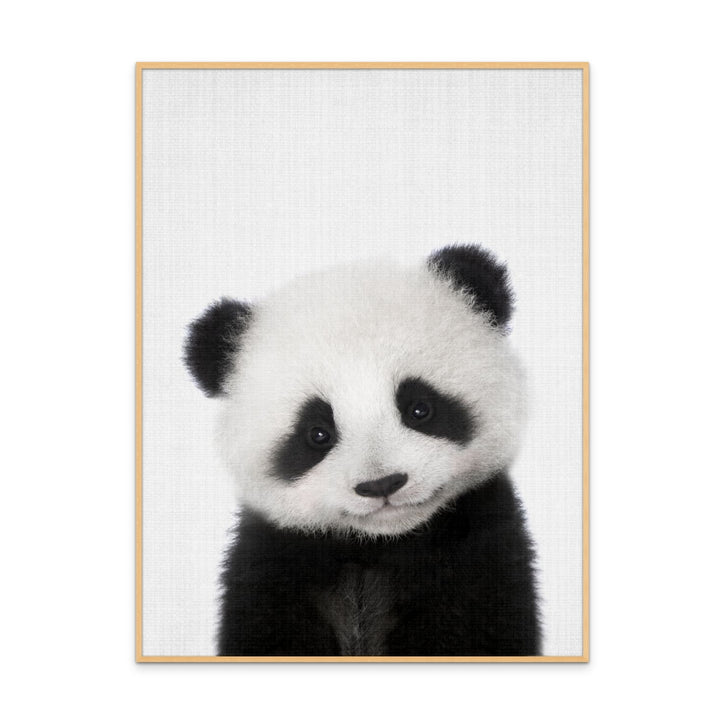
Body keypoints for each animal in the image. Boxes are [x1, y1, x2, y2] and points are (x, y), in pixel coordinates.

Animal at [184, 244, 540, 657]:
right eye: (317, 433)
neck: (377, 546)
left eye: (420, 408)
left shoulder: (478, 550)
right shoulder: (274, 563)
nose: (382, 484)